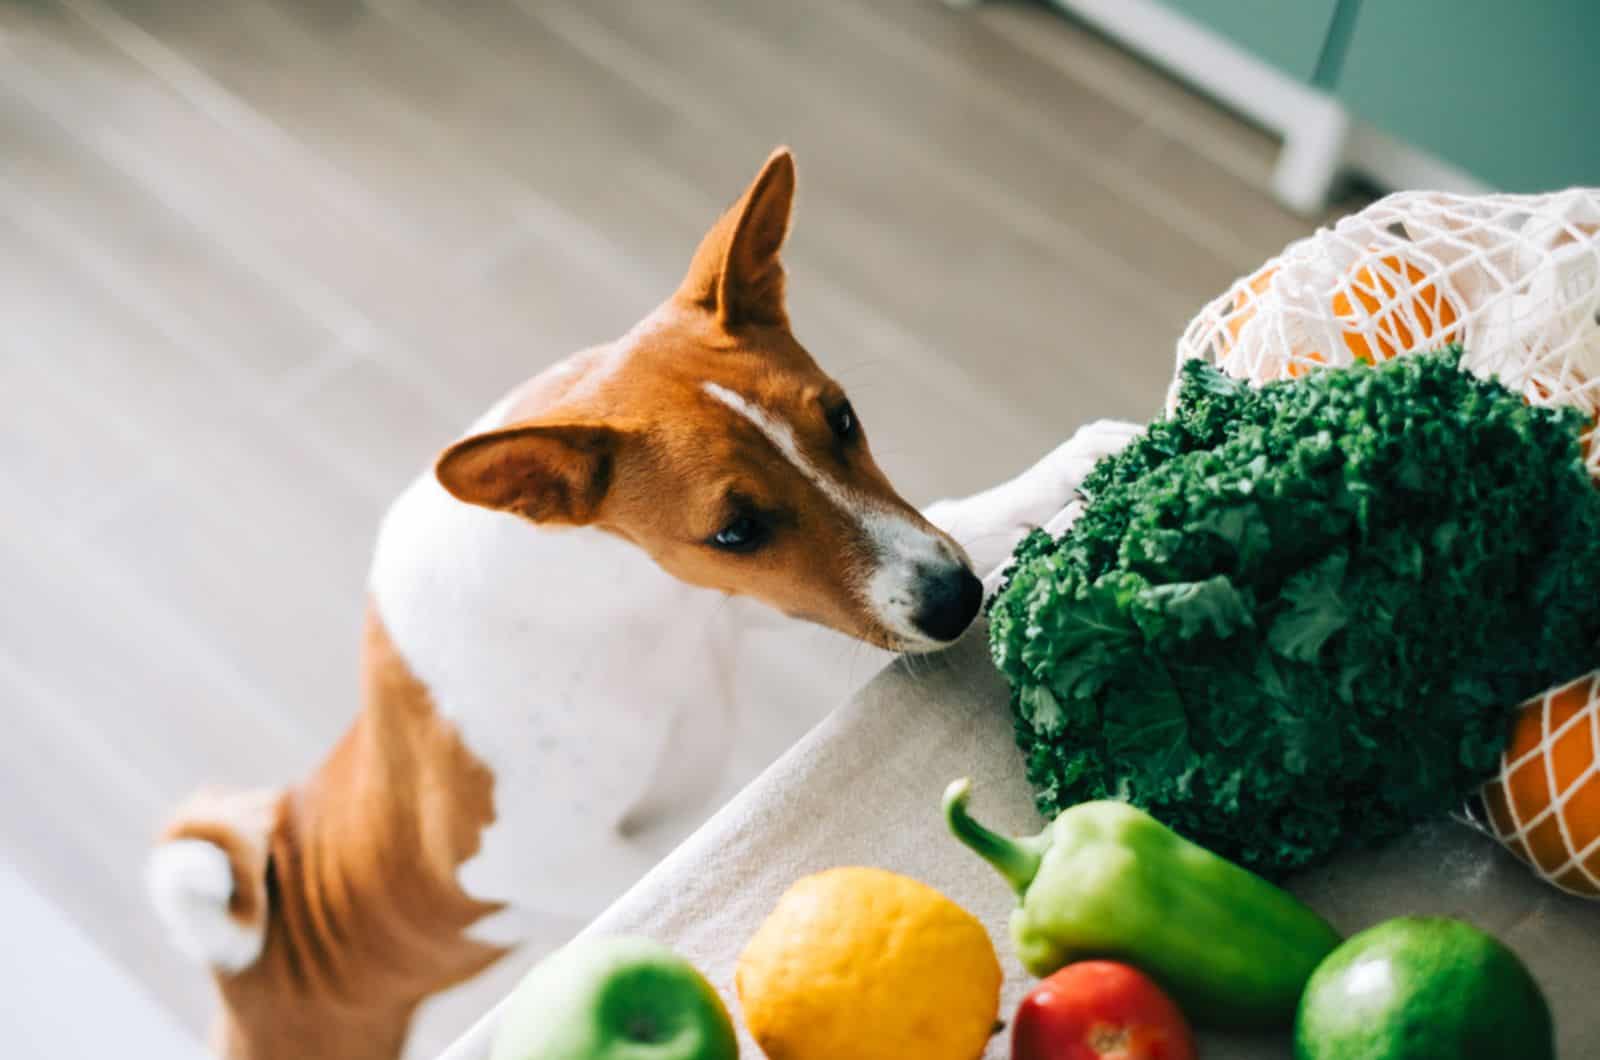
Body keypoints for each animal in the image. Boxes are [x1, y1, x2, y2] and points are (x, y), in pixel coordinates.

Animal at [140, 151, 1139, 1060]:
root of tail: (249, 961)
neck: (622, 605)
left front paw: (1069, 471)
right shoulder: (524, 858)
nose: (956, 600)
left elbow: (960, 515)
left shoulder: (736, 604)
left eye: (844, 419)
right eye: (735, 530)